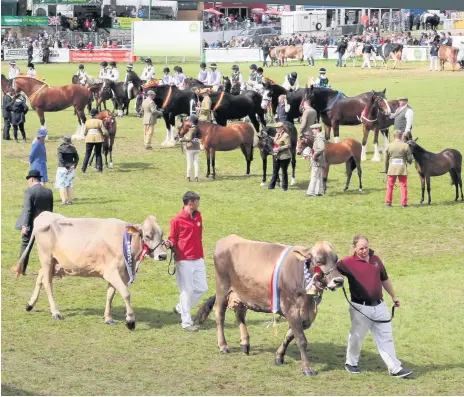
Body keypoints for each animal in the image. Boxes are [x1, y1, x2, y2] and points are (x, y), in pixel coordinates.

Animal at [16, 212, 167, 330]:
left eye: (161, 234)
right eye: (147, 236)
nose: (163, 255)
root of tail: (44, 215)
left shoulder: (118, 274)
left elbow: (110, 295)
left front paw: (108, 318)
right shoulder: (111, 272)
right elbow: (126, 293)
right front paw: (130, 321)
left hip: (54, 263)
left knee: (41, 276)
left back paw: (30, 304)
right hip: (46, 257)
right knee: (47, 283)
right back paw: (55, 312)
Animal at [196, 234, 344, 376]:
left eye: (336, 259)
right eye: (319, 261)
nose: (339, 280)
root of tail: (227, 239)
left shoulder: (307, 315)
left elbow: (289, 336)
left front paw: (279, 357)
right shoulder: (291, 310)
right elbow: (301, 340)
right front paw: (307, 369)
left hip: (242, 293)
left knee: (240, 315)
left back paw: (245, 343)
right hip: (222, 287)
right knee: (220, 314)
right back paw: (223, 346)